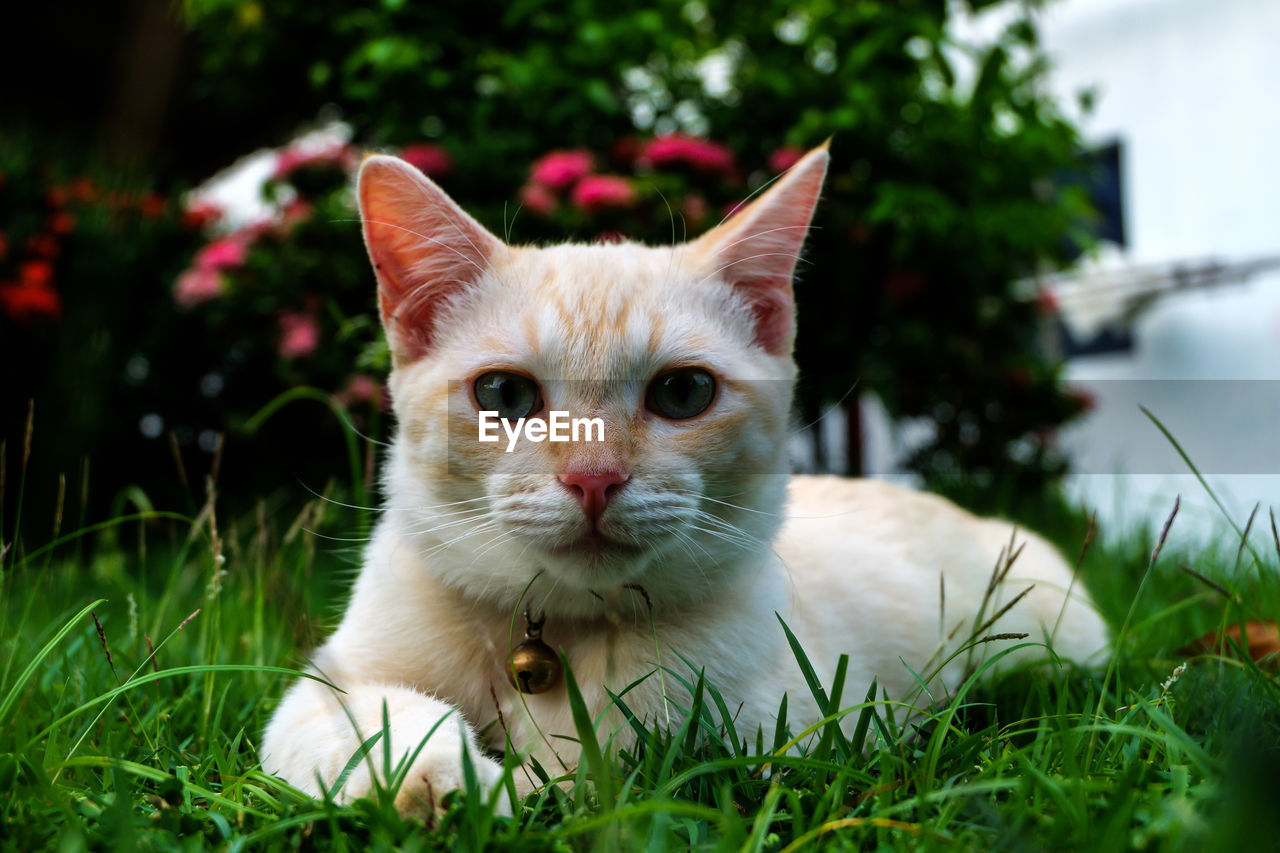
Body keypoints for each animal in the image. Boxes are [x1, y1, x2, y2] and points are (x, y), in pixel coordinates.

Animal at [262, 142, 1111, 814]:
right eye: (502, 393)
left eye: (683, 393)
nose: (595, 479)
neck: (558, 639)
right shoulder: (323, 688)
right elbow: (380, 720)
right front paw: (443, 784)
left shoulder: (775, 726)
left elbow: (624, 768)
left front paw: (534, 785)